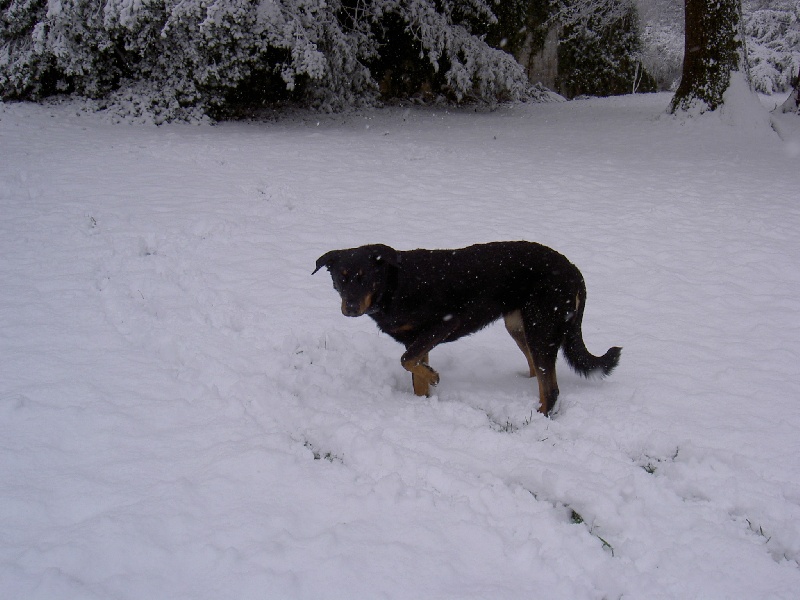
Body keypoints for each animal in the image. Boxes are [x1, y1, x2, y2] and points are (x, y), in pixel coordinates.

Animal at [310, 241, 620, 414]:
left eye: (365, 278)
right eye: (341, 278)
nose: (350, 307)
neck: (393, 286)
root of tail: (574, 271)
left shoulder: (443, 324)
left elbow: (406, 360)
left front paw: (434, 376)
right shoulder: (419, 339)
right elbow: (416, 375)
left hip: (540, 327)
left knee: (551, 389)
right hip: (519, 326)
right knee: (537, 373)